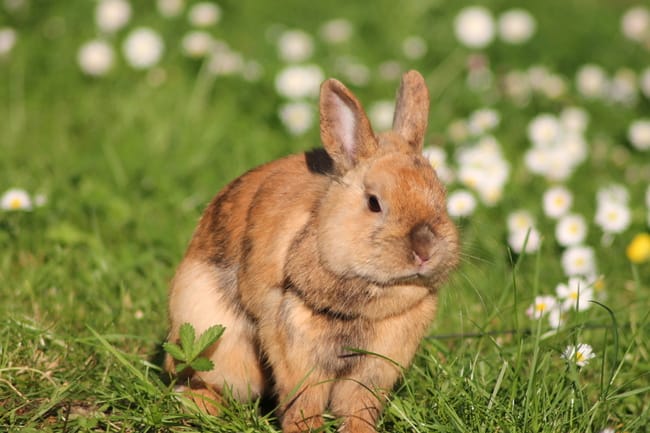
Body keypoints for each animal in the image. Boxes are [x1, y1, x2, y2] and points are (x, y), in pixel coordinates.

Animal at [164, 70, 459, 433]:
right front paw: (305, 428)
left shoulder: (379, 360)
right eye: (374, 203)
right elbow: (304, 399)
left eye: (441, 197)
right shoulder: (295, 341)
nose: (424, 251)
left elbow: (358, 405)